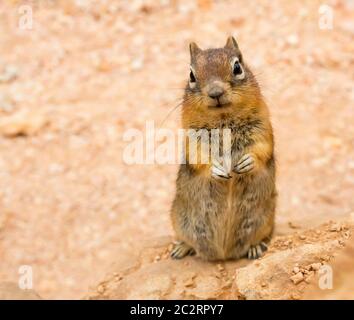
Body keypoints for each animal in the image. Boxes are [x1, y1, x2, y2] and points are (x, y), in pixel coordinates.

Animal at [170, 35, 276, 260]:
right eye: (191, 75)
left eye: (237, 67)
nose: (215, 92)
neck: (223, 120)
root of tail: (224, 254)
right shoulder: (193, 136)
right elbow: (198, 156)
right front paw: (216, 169)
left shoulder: (261, 127)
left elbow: (262, 148)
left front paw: (247, 162)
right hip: (178, 218)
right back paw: (181, 248)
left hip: (267, 219)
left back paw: (255, 248)